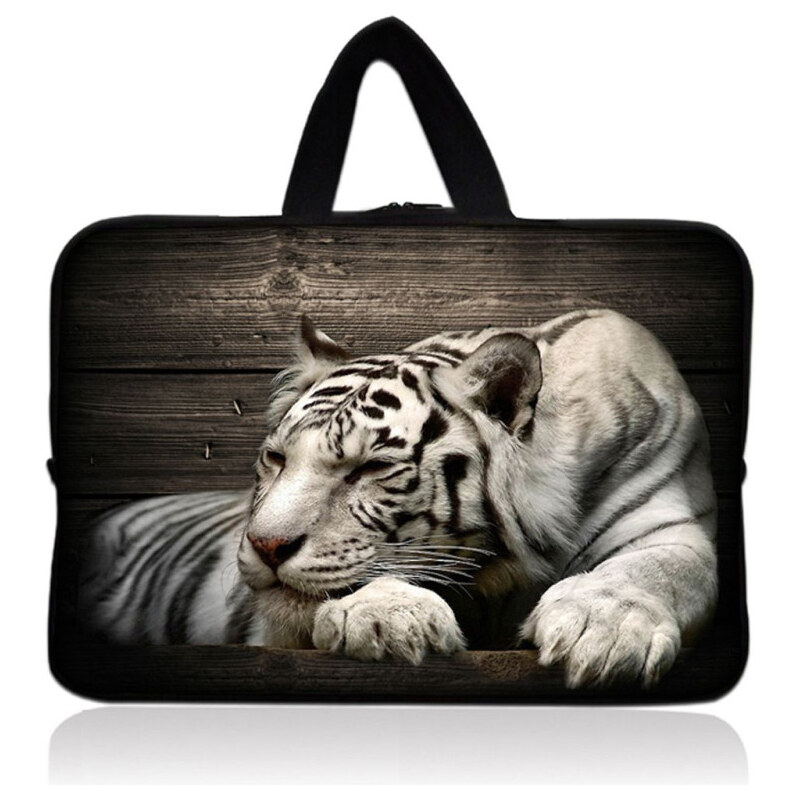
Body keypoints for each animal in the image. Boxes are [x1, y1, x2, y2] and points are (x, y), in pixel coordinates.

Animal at [80, 309, 717, 688]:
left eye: (371, 468)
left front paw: (603, 630)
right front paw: (387, 617)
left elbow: (658, 569)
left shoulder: (671, 523)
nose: (265, 546)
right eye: (278, 459)